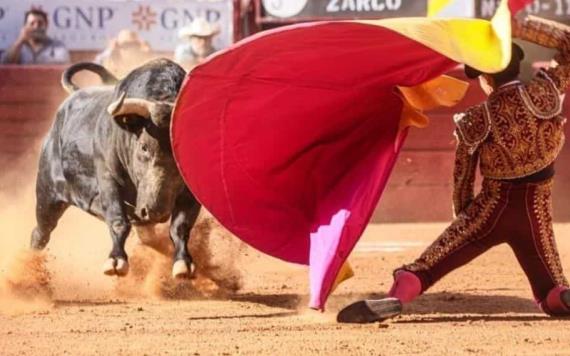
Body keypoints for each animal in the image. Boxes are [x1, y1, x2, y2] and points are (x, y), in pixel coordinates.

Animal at [31, 58, 201, 278]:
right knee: (40, 233)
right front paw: (116, 260)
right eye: (144, 146)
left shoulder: (191, 194)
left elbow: (180, 226)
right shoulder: (108, 180)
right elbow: (118, 221)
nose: (155, 211)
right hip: (47, 197)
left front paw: (183, 263)